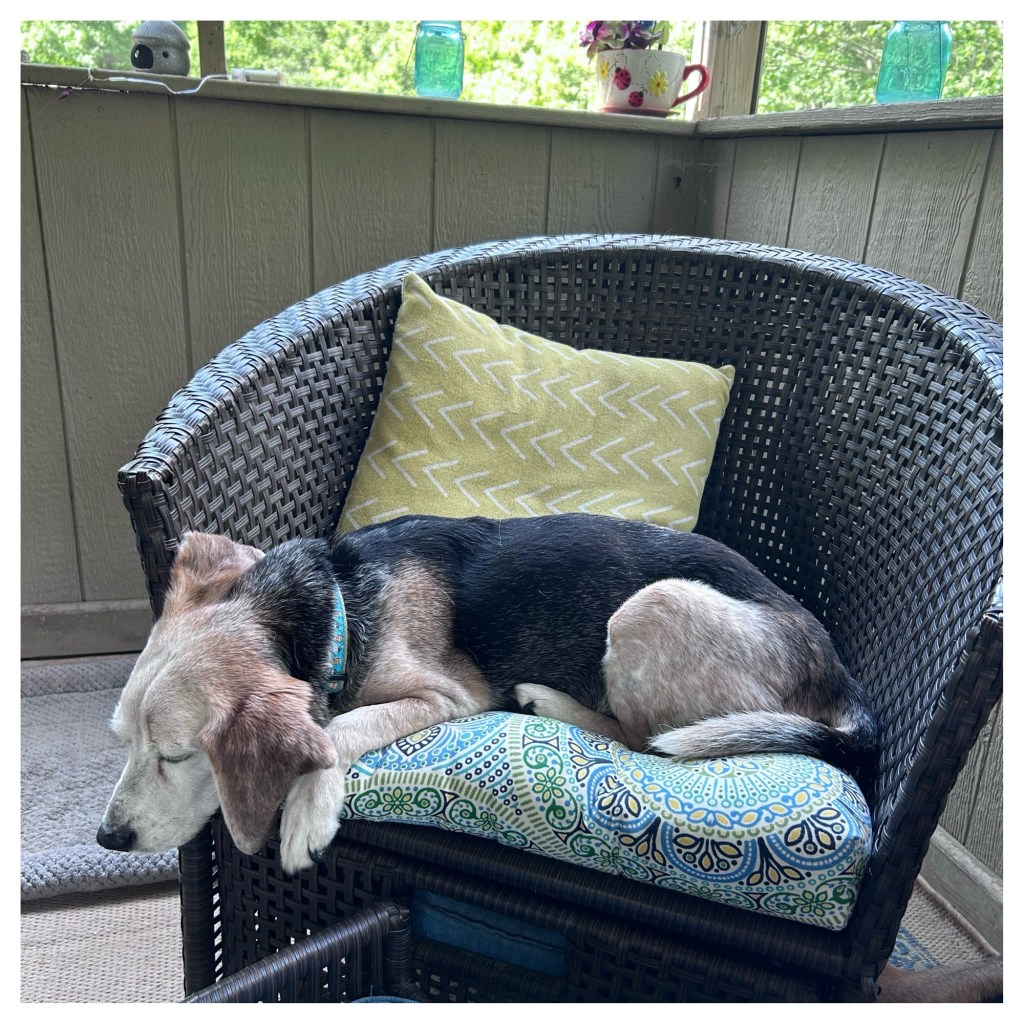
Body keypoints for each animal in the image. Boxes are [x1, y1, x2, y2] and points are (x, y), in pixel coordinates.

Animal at [97, 512, 877, 876]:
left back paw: (545, 700)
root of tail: (838, 676)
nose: (109, 839)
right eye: (125, 742)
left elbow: (336, 733)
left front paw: (305, 816)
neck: (339, 603)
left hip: (650, 605)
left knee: (642, 739)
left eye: (176, 755)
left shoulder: (444, 698)